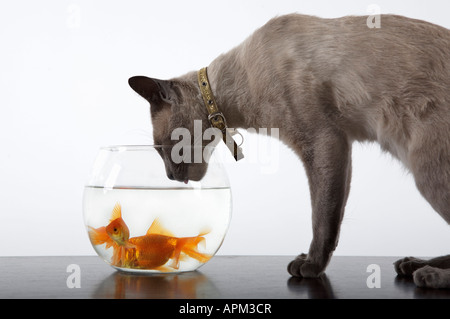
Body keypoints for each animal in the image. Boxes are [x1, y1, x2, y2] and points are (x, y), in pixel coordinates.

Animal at [126, 13, 450, 290]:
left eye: (161, 148)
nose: (169, 176)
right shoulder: (333, 144)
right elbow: (327, 217)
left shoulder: (323, 142)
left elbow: (323, 219)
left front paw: (311, 266)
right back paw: (412, 263)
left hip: (426, 173)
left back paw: (429, 274)